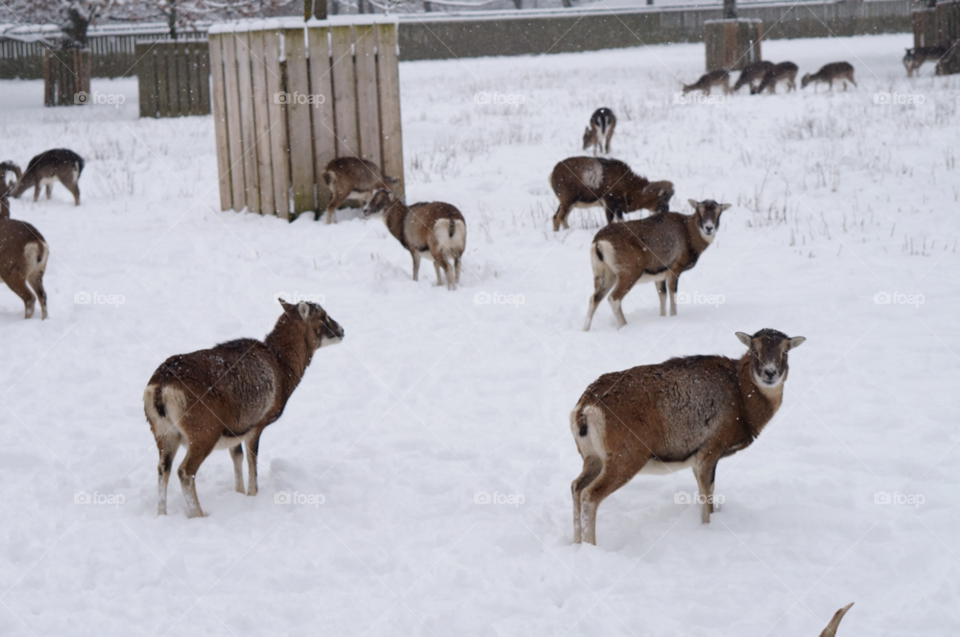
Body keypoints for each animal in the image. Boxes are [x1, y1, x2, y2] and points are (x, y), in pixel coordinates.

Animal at [145, 300, 344, 516]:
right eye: (323, 316)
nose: (342, 330)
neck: (281, 366)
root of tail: (161, 388)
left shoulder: (236, 431)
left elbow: (237, 457)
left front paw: (239, 493)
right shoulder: (256, 428)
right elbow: (251, 463)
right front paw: (251, 495)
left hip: (164, 435)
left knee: (163, 469)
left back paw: (162, 514)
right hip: (203, 436)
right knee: (185, 472)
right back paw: (198, 515)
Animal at [548, 157, 676, 231]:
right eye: (662, 199)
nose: (665, 211)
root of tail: (553, 173)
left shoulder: (618, 209)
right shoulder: (609, 204)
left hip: (568, 204)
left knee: (556, 217)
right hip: (568, 202)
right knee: (561, 217)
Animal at [572, 330, 808, 544]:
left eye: (785, 351)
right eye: (754, 349)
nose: (770, 373)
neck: (742, 401)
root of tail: (584, 409)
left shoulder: (695, 458)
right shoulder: (710, 450)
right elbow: (707, 498)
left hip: (592, 457)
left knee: (576, 486)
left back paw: (576, 543)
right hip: (626, 457)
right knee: (590, 495)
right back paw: (591, 545)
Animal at [580, 199, 732, 330]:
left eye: (718, 212)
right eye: (699, 211)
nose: (709, 228)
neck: (688, 234)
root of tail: (599, 243)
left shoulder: (659, 276)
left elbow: (662, 297)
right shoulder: (674, 270)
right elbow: (672, 296)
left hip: (605, 276)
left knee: (594, 299)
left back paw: (585, 329)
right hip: (629, 274)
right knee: (614, 298)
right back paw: (624, 326)